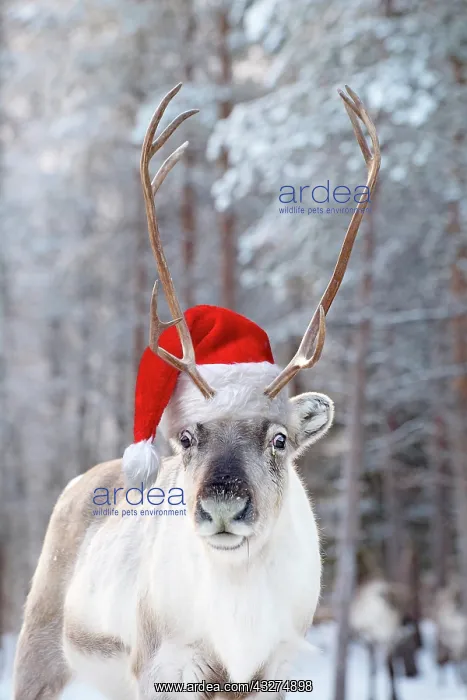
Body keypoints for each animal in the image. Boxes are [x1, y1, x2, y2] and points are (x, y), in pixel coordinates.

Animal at [13, 83, 380, 700]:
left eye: (280, 440)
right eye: (186, 438)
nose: (223, 504)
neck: (235, 629)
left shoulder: (278, 665)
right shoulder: (165, 665)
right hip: (42, 649)